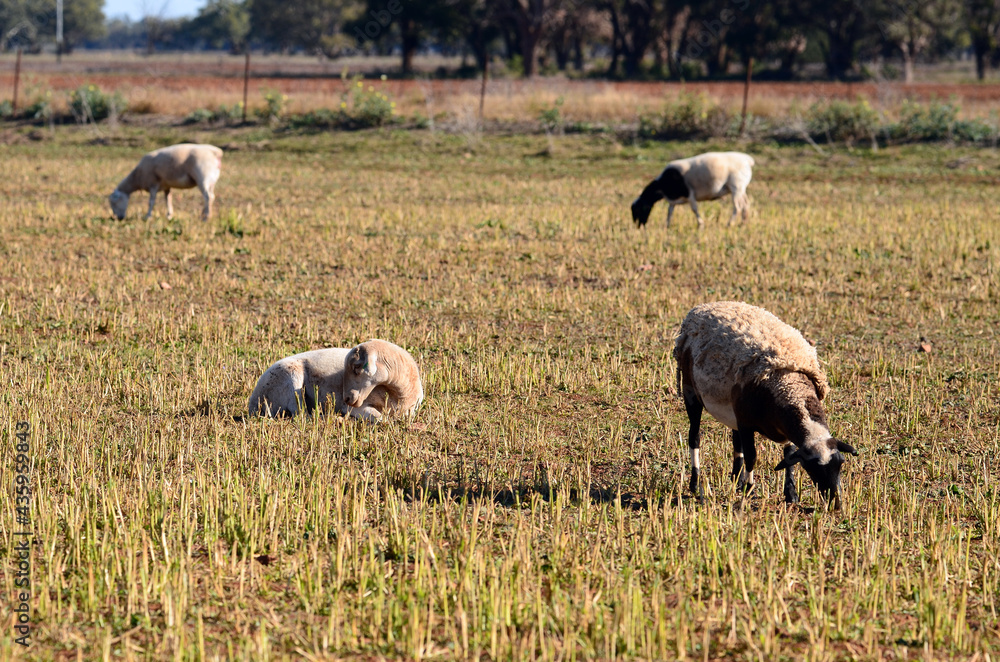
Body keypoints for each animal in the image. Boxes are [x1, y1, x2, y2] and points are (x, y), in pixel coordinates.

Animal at [248, 339, 423, 423]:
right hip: (290, 377)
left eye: (356, 367)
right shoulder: (355, 408)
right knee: (301, 414)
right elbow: (382, 419)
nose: (347, 398)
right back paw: (334, 418)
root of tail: (253, 404)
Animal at [673, 301, 857, 509]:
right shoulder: (746, 423)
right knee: (694, 436)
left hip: (733, 410)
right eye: (813, 469)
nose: (837, 504)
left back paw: (736, 480)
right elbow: (752, 456)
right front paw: (749, 490)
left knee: (736, 442)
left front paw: (791, 494)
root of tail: (702, 307)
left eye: (840, 463)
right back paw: (695, 484)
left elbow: (788, 456)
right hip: (691, 393)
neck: (788, 383)